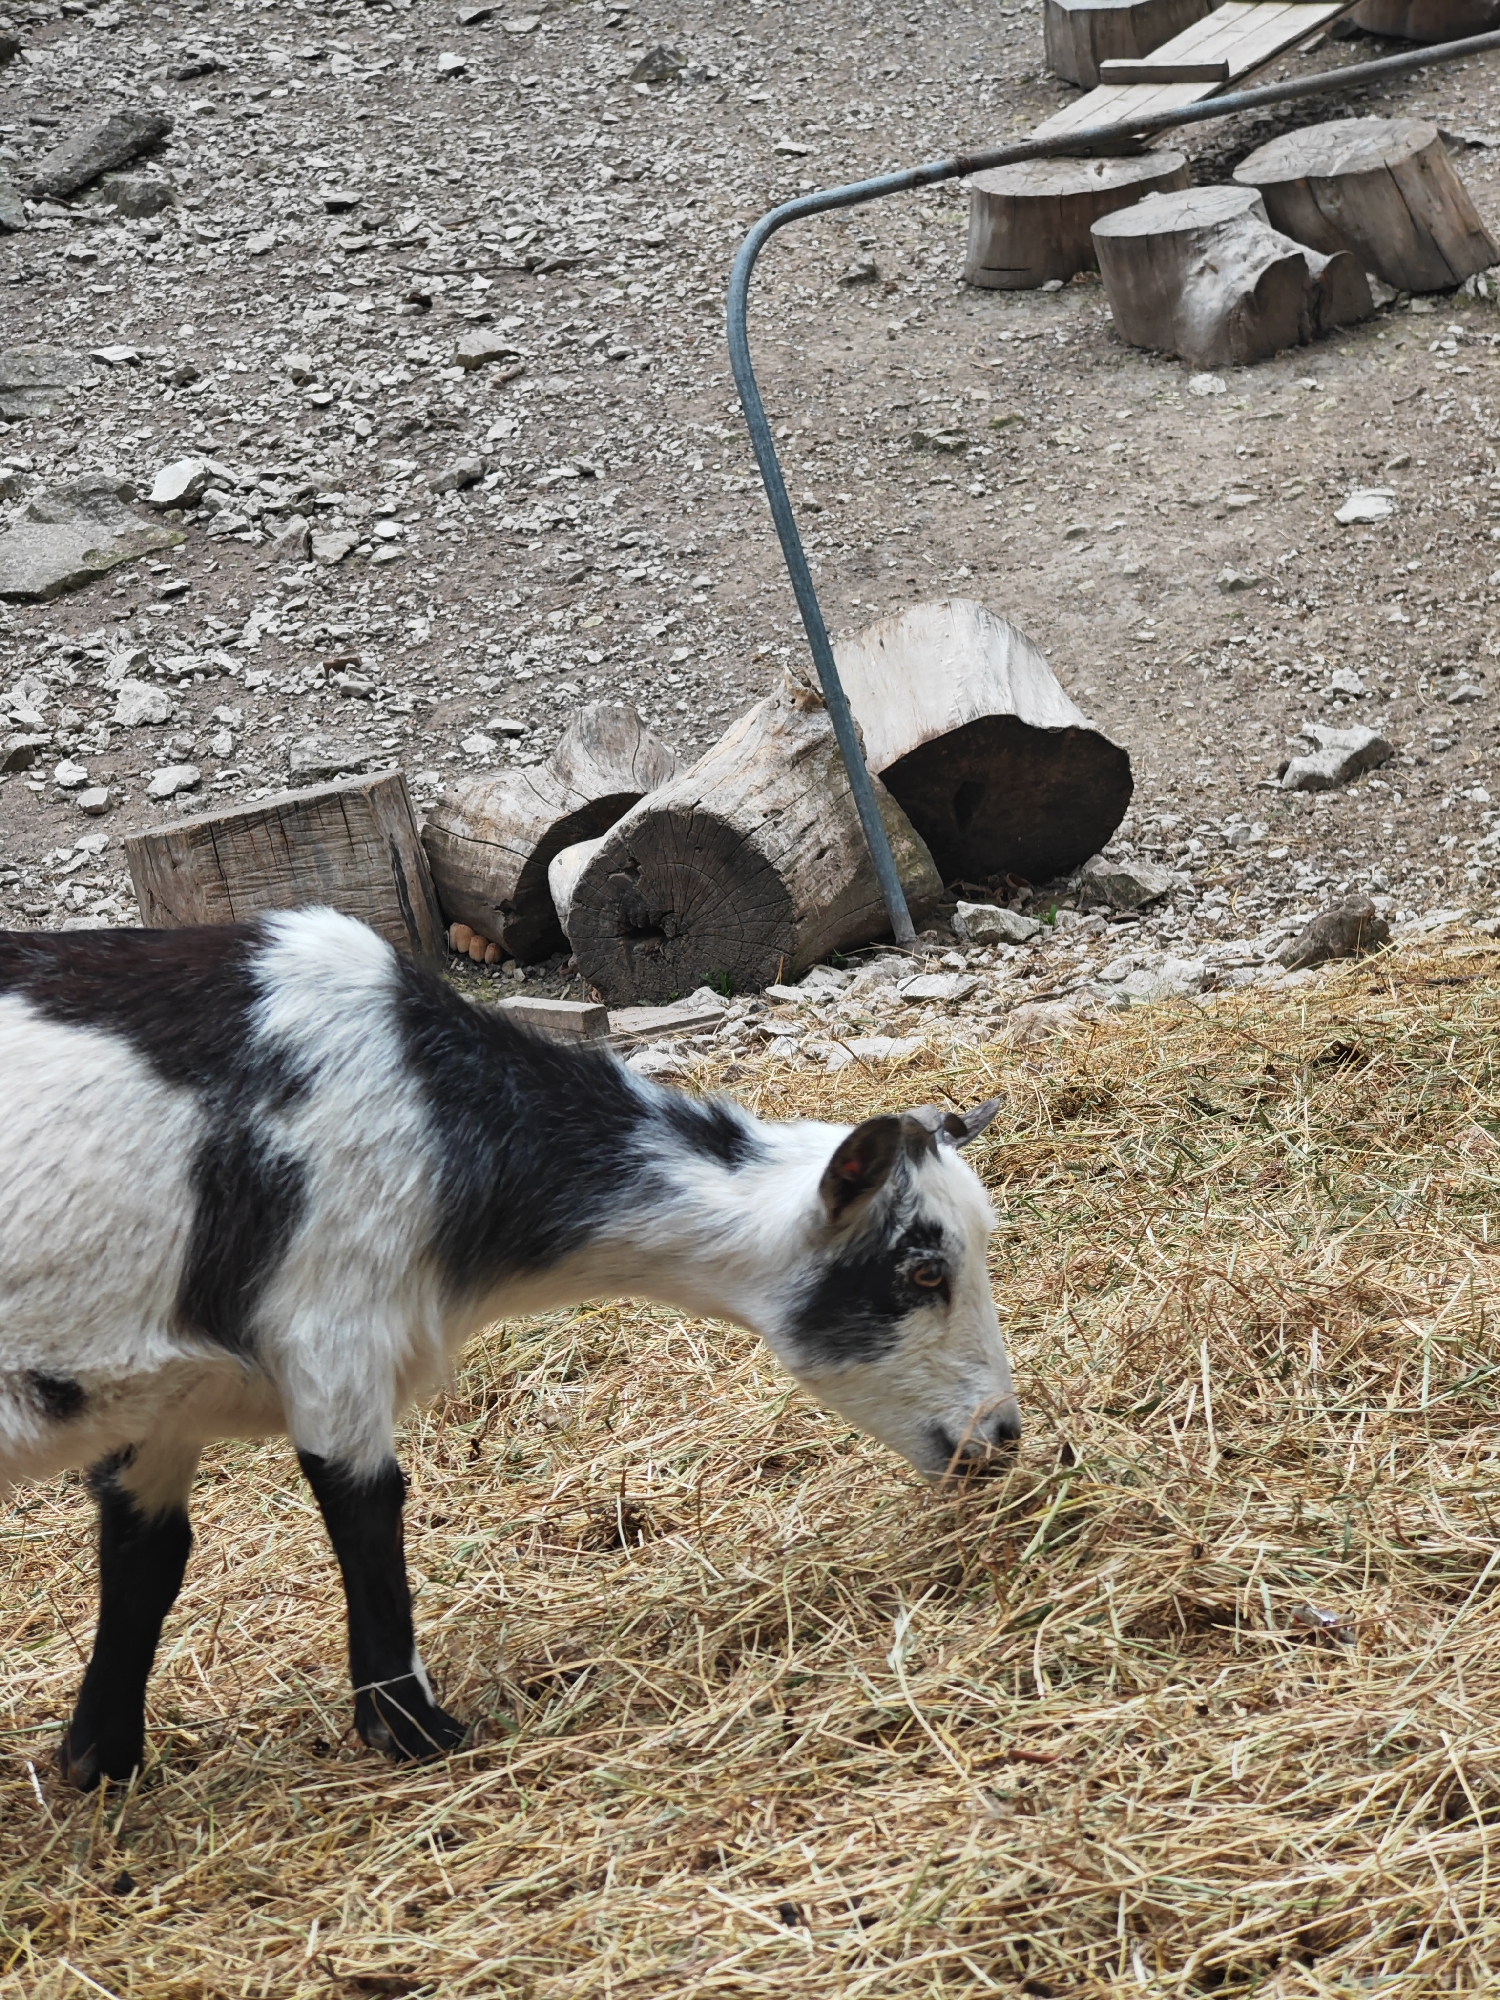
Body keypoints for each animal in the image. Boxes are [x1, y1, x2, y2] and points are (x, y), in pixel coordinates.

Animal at [0, 908, 1019, 1788]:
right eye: (922, 1270)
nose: (1001, 1437)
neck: (435, 1118)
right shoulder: (334, 1328)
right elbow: (368, 1513)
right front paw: (415, 1732)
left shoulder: (159, 1398)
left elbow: (147, 1557)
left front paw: (101, 1763)